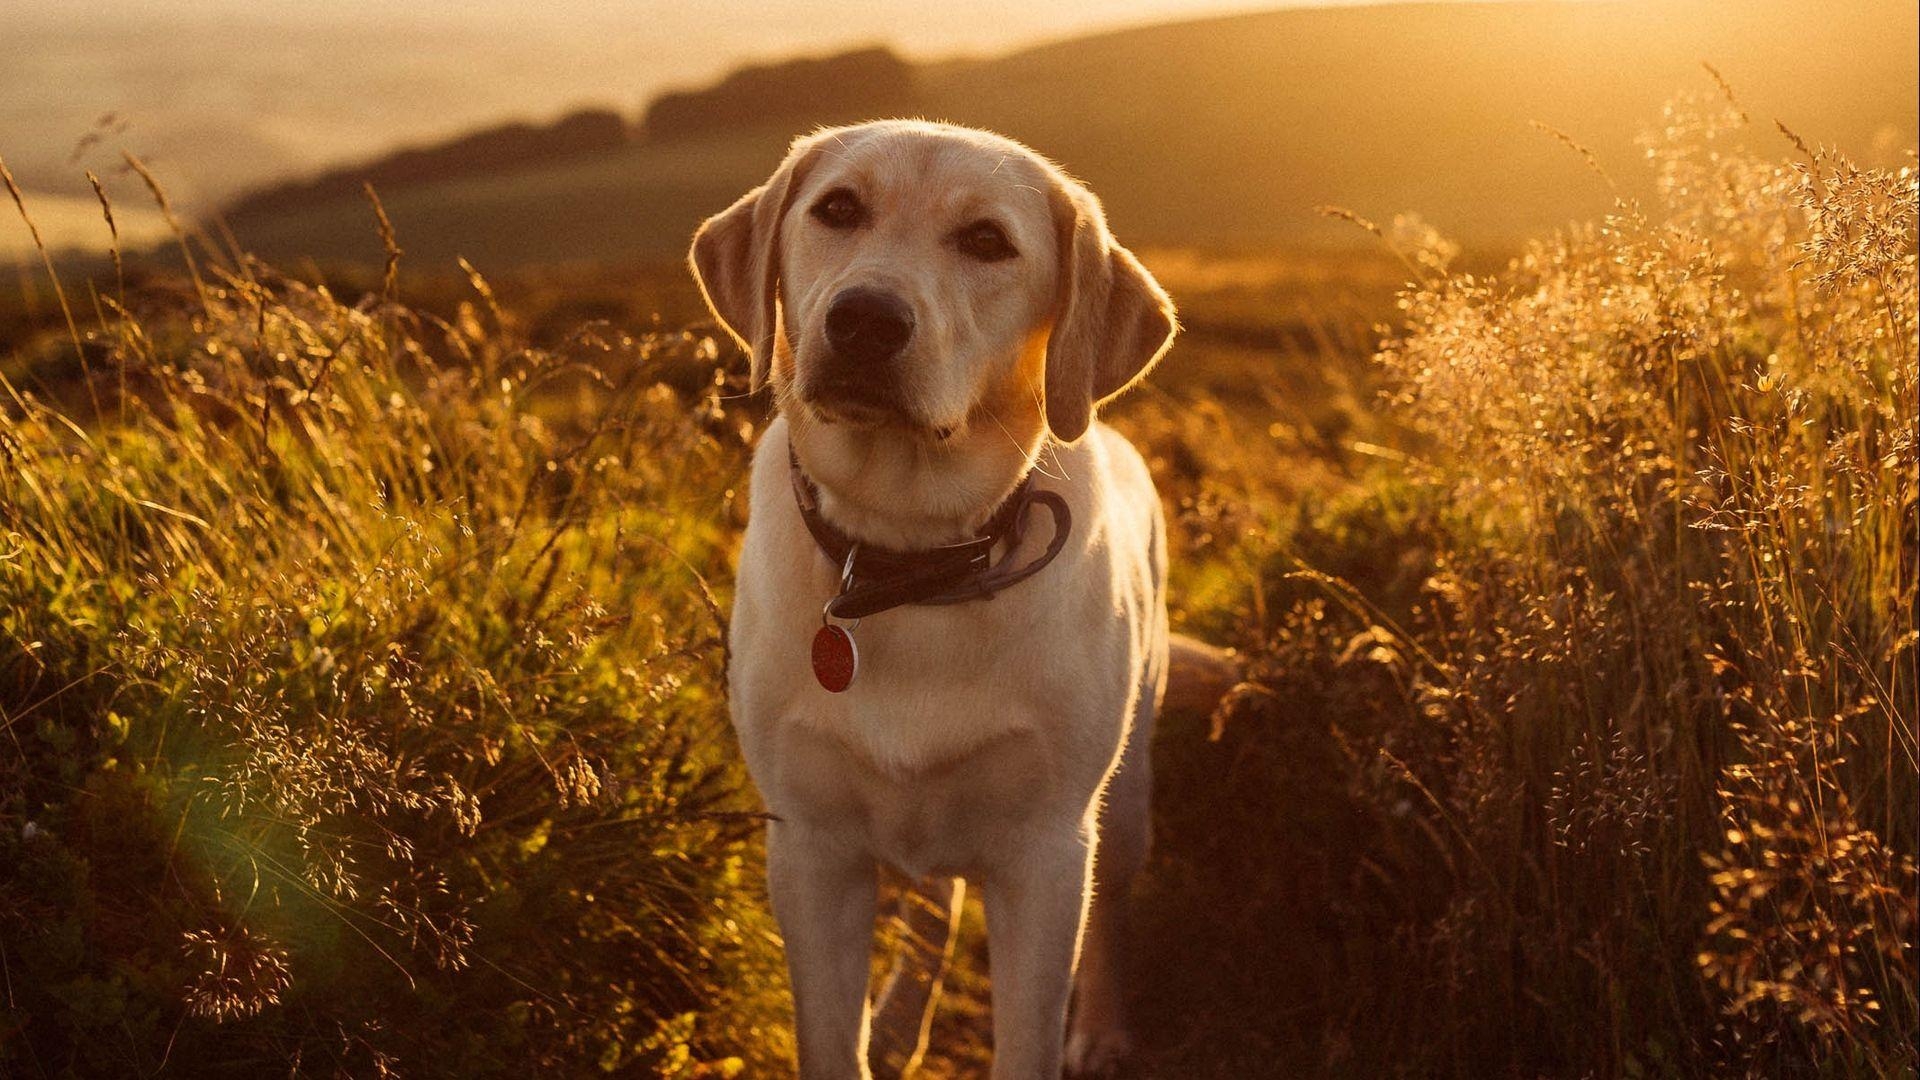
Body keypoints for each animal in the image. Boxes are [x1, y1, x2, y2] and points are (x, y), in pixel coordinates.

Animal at [691, 117, 1167, 1076]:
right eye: (839, 208)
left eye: (987, 240)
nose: (865, 319)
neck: (907, 557)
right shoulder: (810, 846)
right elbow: (831, 1041)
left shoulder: (1046, 853)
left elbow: (1027, 1038)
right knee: (931, 914)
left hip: (1126, 800)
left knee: (1111, 910)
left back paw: (1101, 1028)